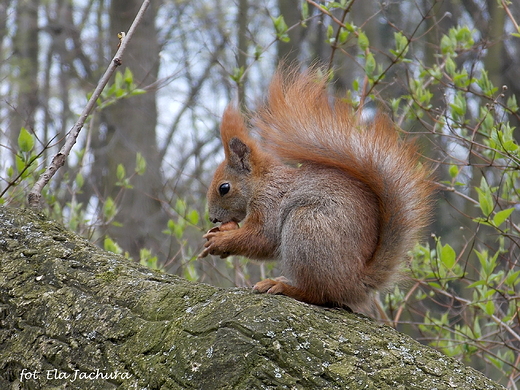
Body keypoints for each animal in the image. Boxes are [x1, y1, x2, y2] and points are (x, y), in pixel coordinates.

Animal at [199, 65, 434, 312]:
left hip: (306, 228)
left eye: (224, 188)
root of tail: (354, 283)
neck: (262, 183)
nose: (213, 218)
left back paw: (283, 286)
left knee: (318, 294)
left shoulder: (270, 203)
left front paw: (221, 240)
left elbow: (262, 238)